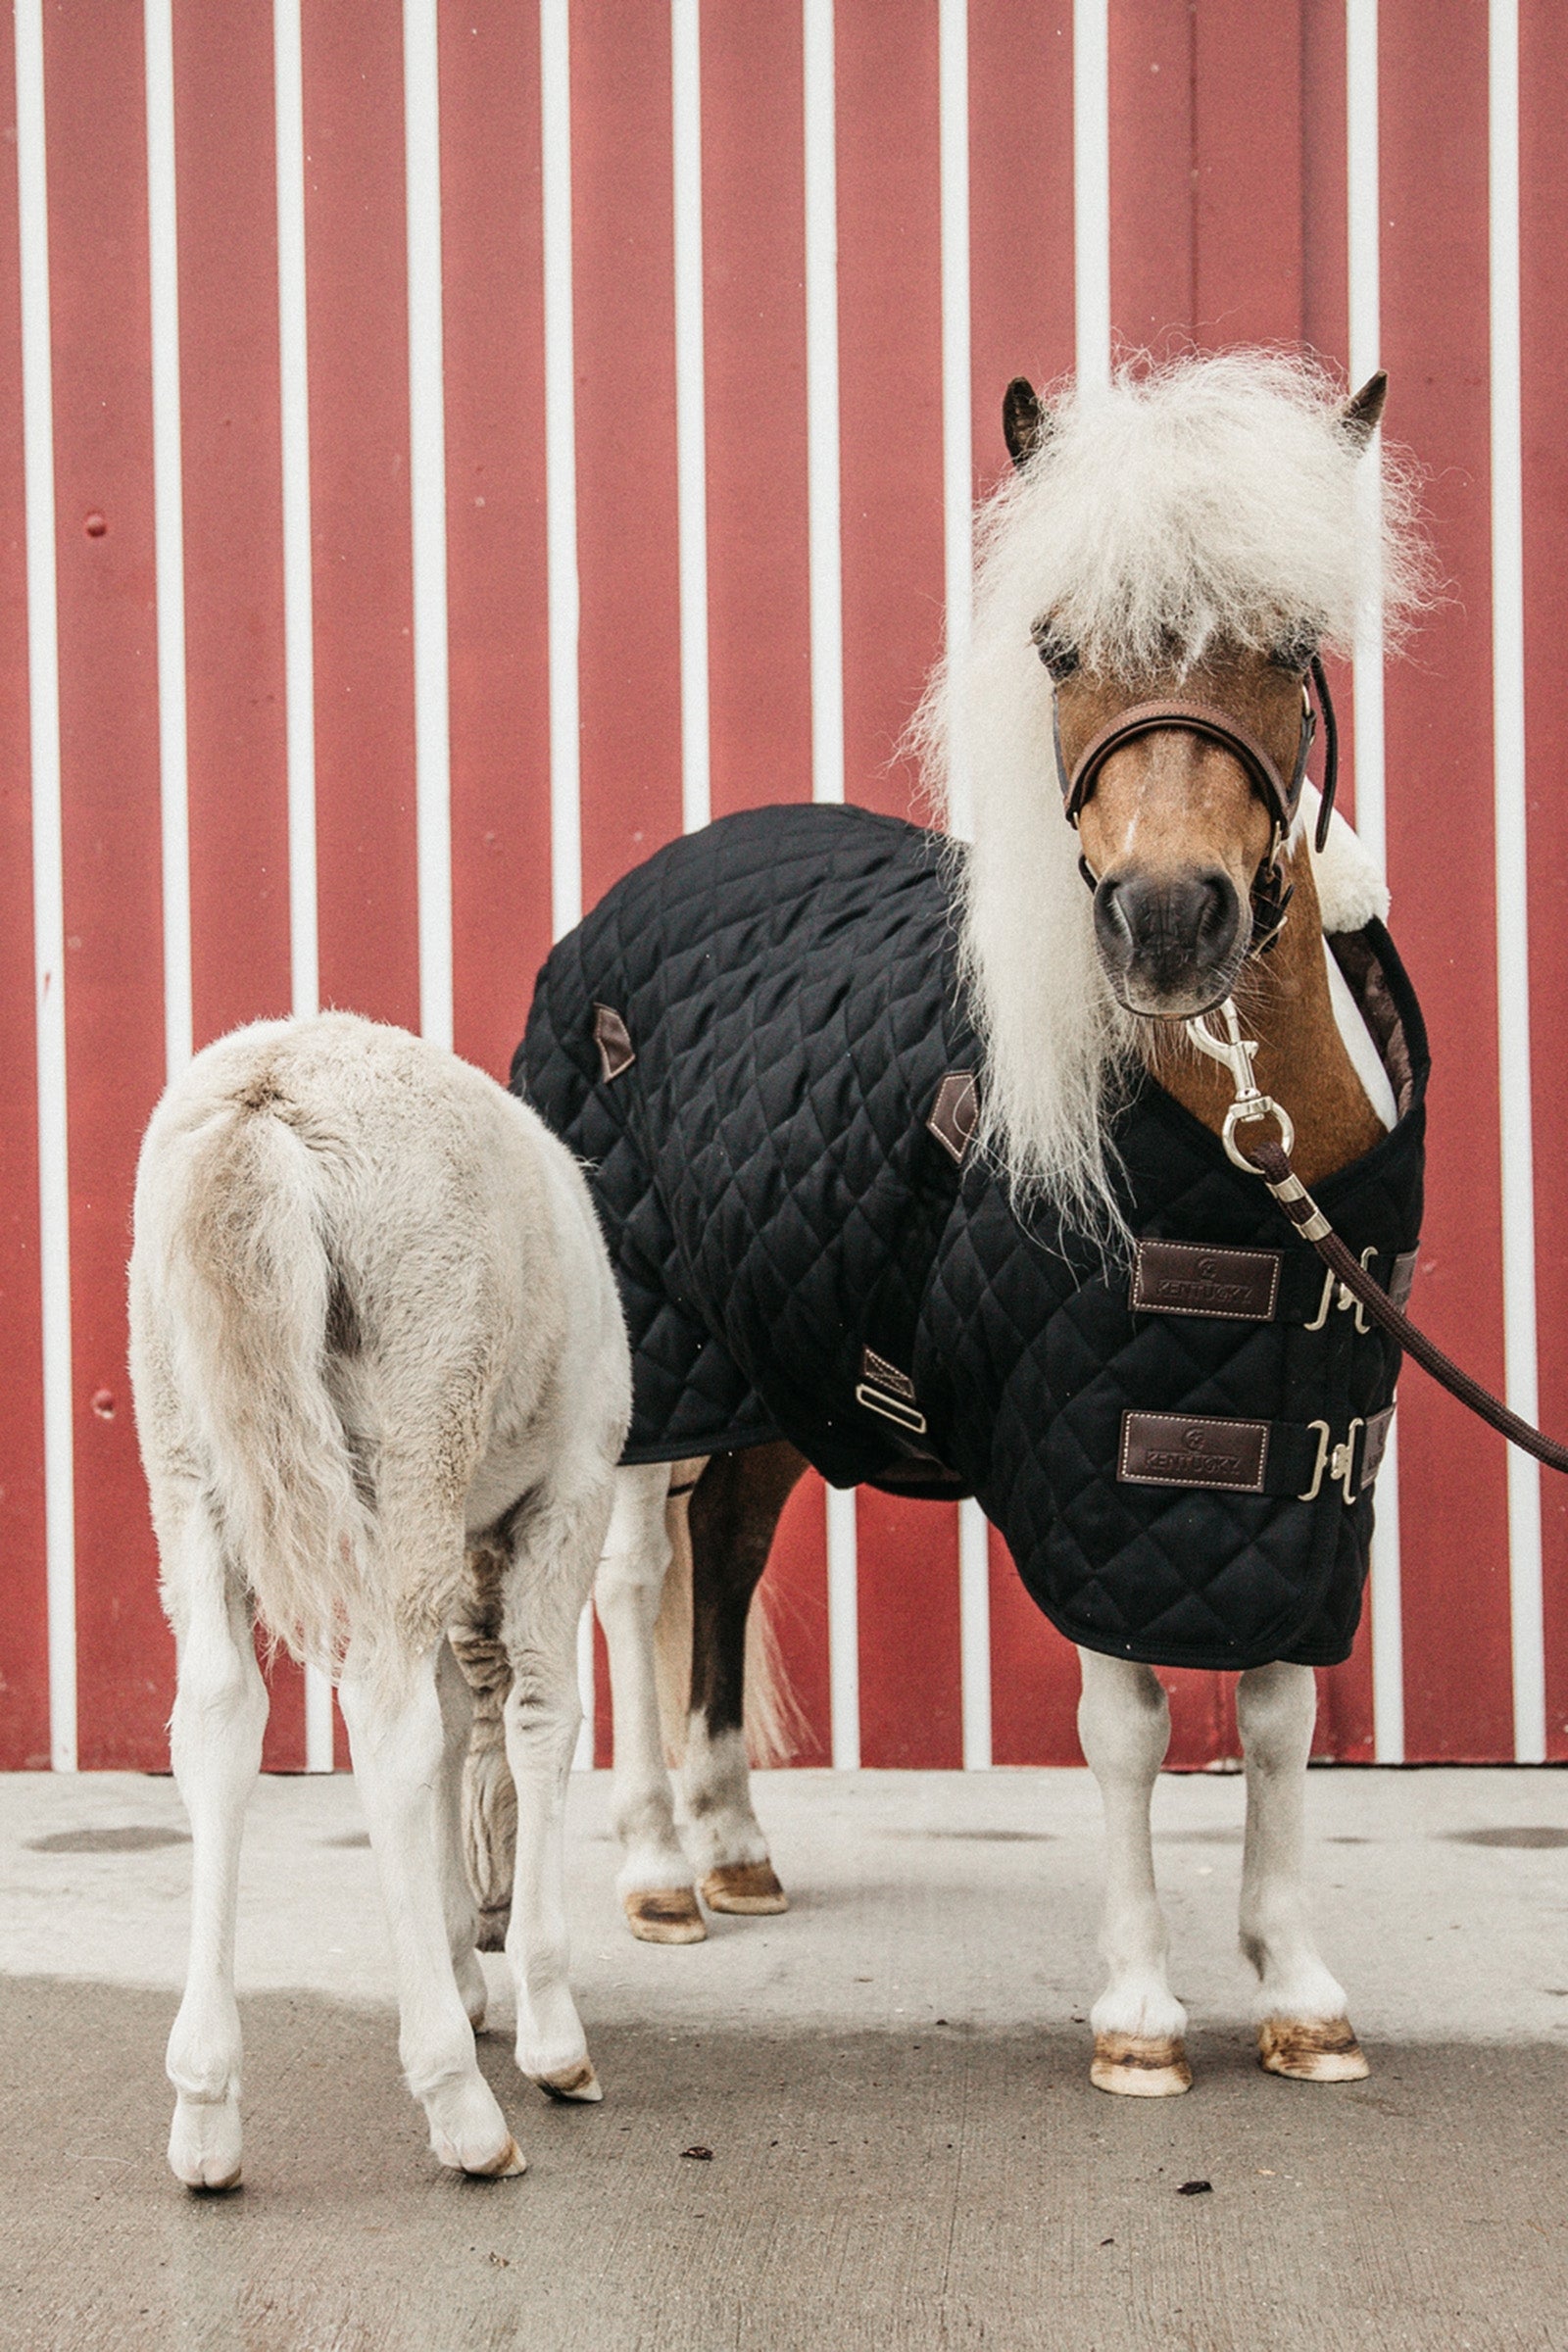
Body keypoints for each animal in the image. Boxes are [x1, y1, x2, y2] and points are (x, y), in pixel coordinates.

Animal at [129, 1012, 630, 2186]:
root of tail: (266, 1101)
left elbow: (461, 1719)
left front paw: (459, 1962)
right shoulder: (570, 1492)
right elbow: (539, 1719)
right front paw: (546, 2026)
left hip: (185, 1447)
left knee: (218, 1718)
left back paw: (205, 2110)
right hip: (419, 1419)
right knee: (390, 1719)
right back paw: (460, 2108)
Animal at [463, 351, 1431, 2099]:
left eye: (1281, 641)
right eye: (1056, 646)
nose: (1168, 921)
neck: (1255, 1132)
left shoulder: (1290, 1466)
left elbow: (1274, 1719)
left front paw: (1300, 1990)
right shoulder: (1092, 1448)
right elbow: (1128, 1727)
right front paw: (1139, 2011)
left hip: (777, 1362)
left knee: (730, 1545)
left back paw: (735, 1847)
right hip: (653, 1361)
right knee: (635, 1578)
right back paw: (657, 1870)